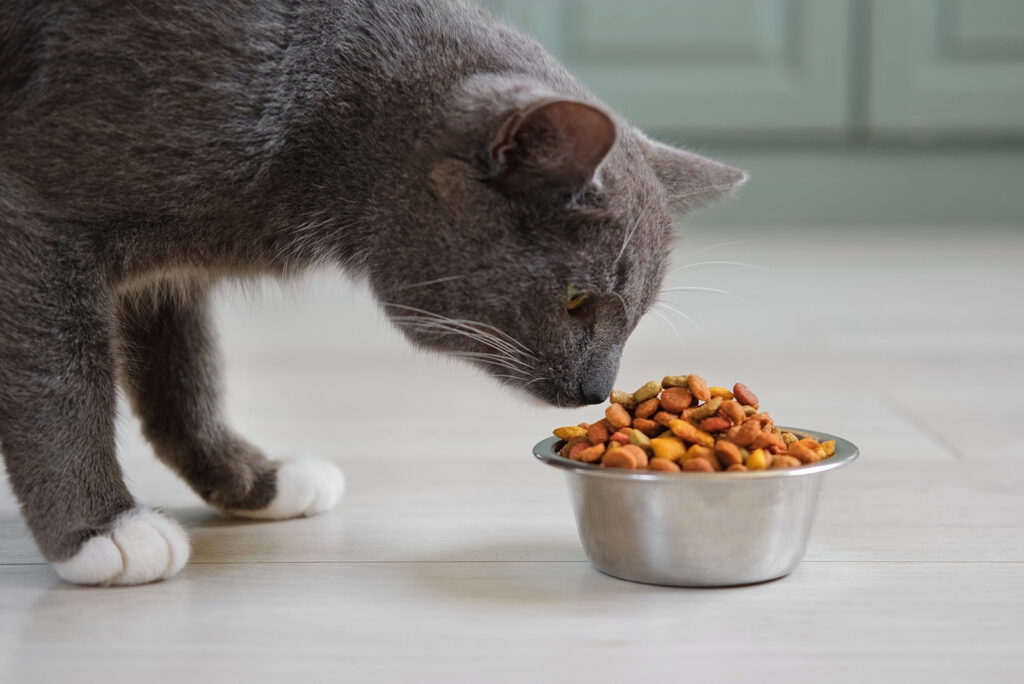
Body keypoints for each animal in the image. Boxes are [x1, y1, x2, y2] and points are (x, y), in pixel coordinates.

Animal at [2, 0, 745, 585]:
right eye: (575, 302)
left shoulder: (170, 272)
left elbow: (185, 374)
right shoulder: (40, 212)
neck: (314, 115)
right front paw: (100, 531)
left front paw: (256, 482)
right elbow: (61, 377)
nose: (597, 389)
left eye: (636, 316)